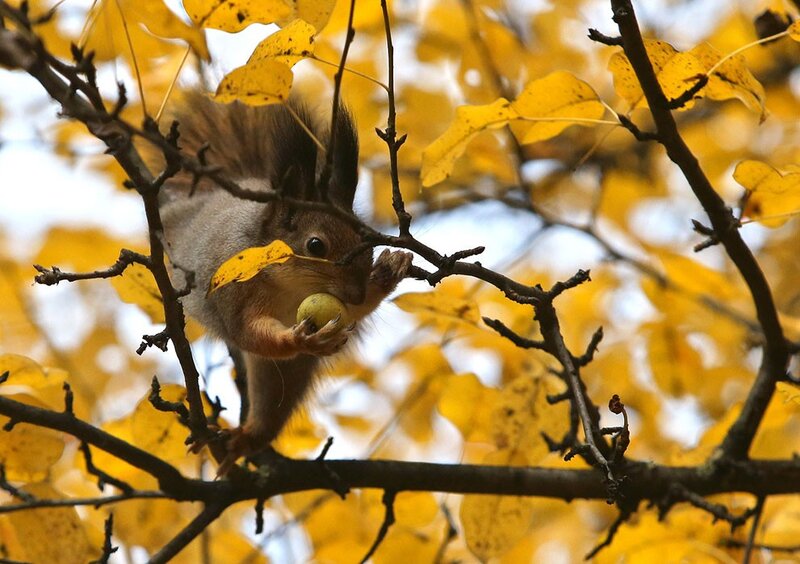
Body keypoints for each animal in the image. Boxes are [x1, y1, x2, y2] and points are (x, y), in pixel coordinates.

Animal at [158, 91, 412, 474]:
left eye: (366, 239)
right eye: (316, 245)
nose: (355, 292)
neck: (291, 288)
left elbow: (357, 310)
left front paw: (387, 273)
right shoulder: (234, 294)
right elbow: (249, 333)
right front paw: (299, 337)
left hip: (287, 377)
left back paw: (246, 439)